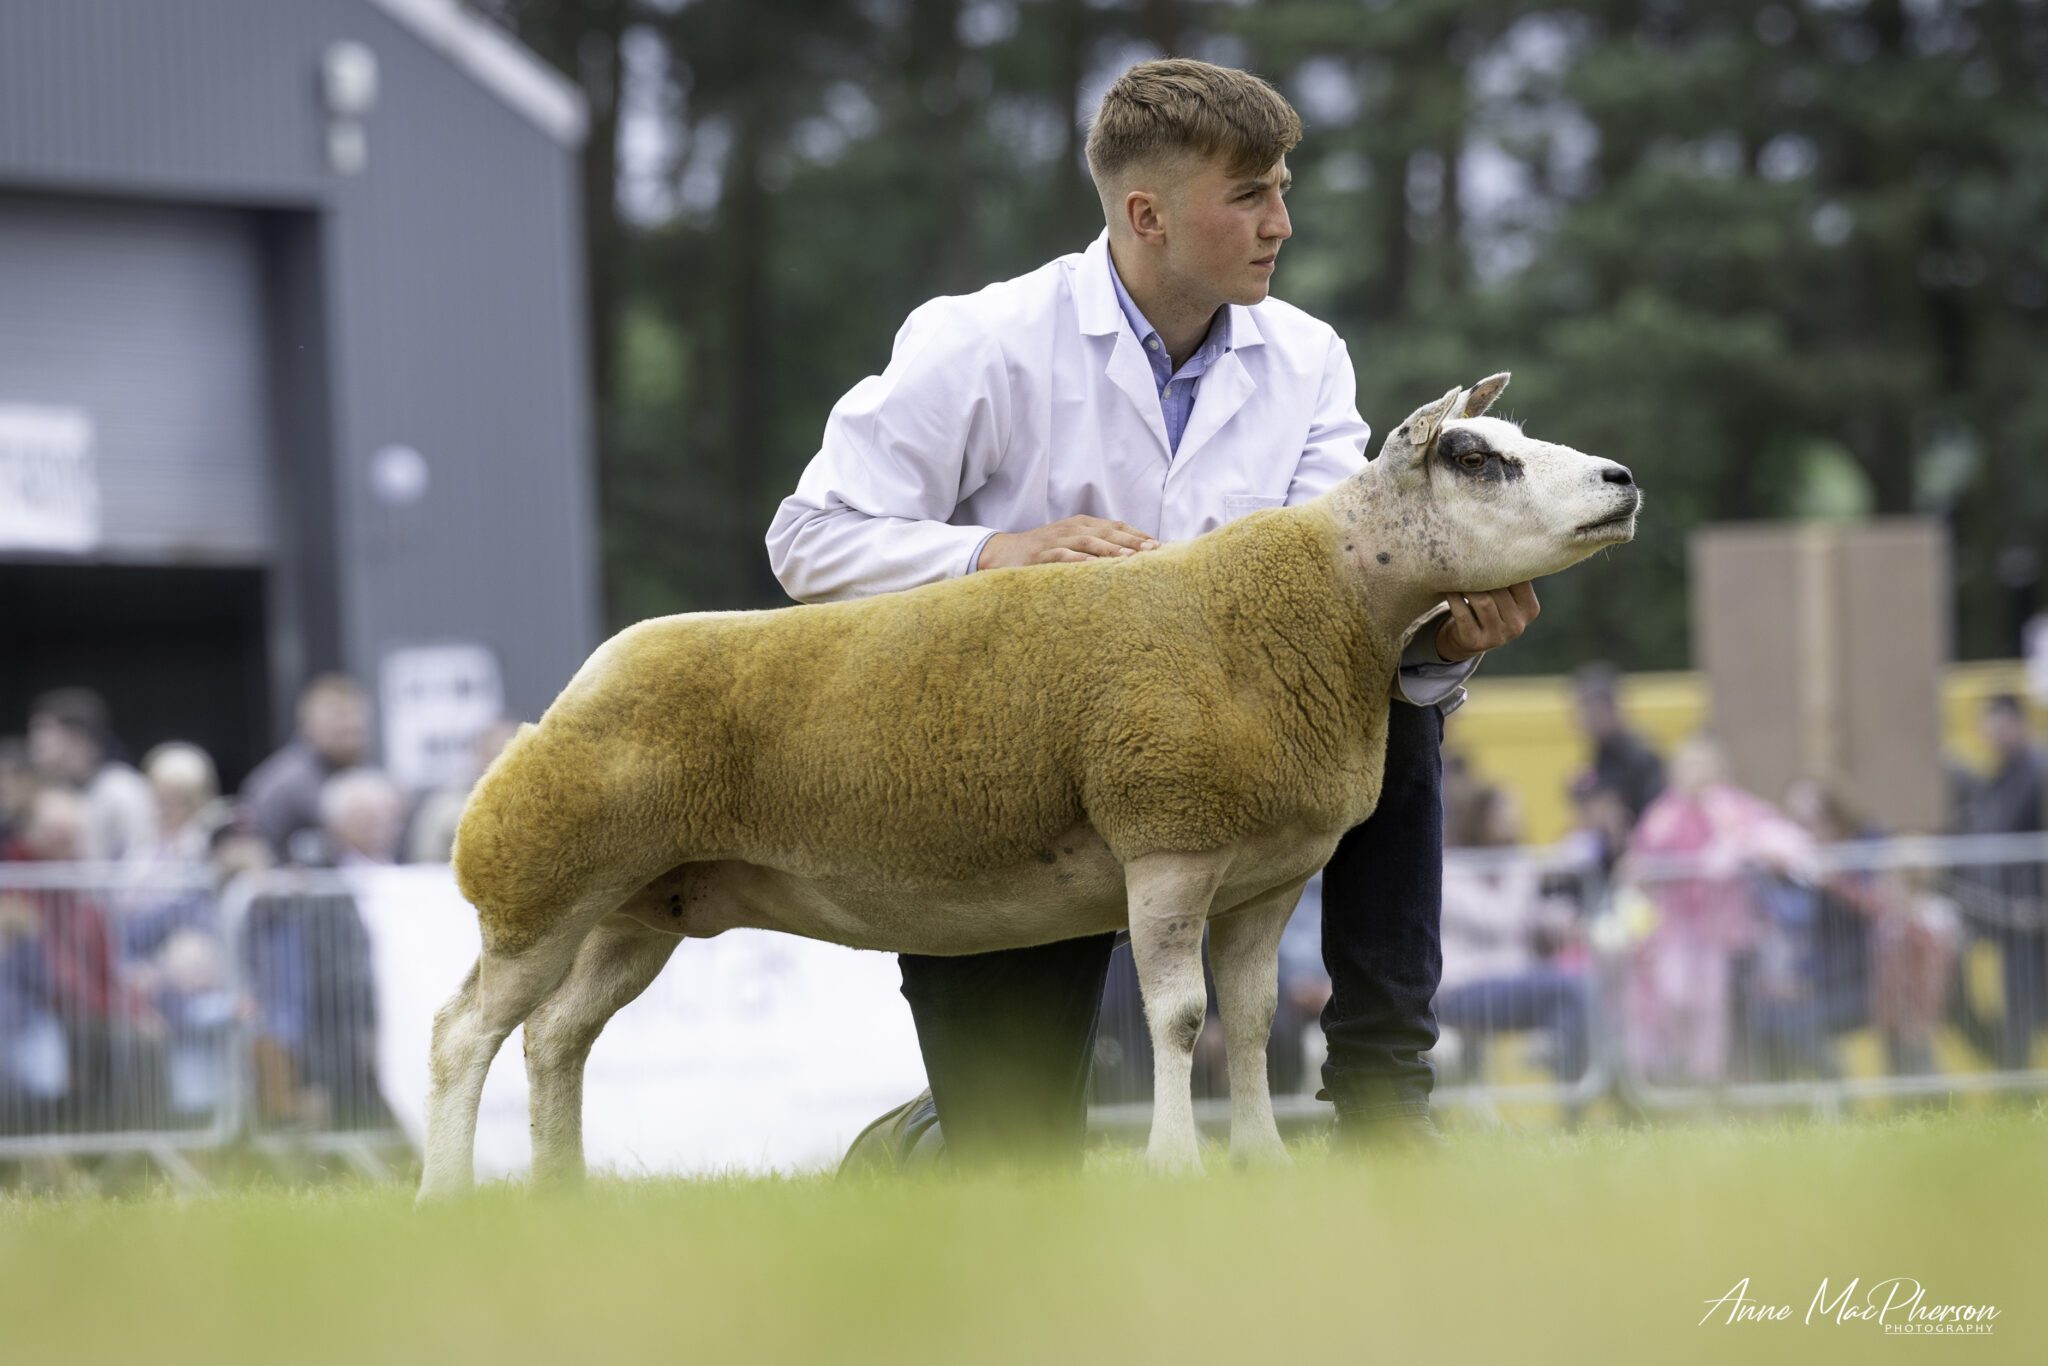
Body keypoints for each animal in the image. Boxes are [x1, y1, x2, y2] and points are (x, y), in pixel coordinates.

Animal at [417, 372, 1640, 1197]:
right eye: (1474, 456)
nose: (1623, 482)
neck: (1319, 608)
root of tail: (578, 685)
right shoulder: (1168, 841)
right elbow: (1179, 1015)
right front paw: (1173, 1165)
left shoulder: (1264, 878)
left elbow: (1247, 1022)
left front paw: (1261, 1161)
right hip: (539, 883)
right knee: (462, 1033)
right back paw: (449, 1200)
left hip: (643, 905)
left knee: (556, 1037)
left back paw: (564, 1194)